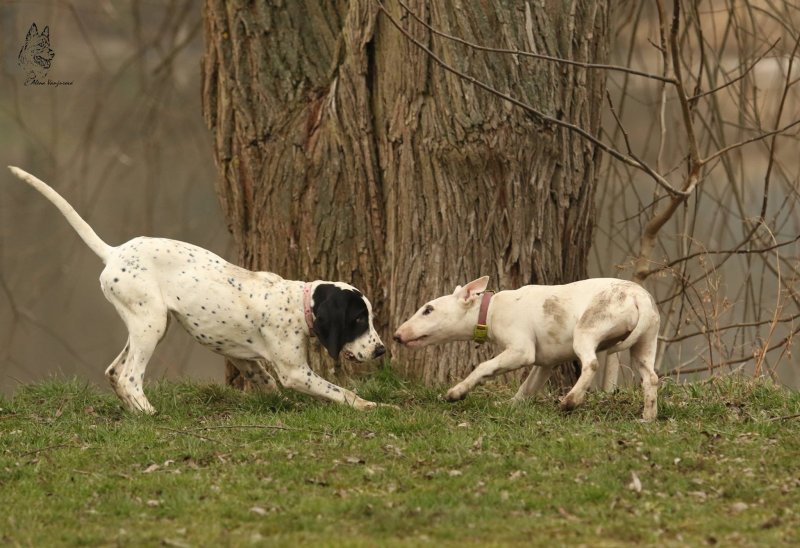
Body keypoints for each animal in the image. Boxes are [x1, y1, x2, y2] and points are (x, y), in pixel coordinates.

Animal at [394, 276, 664, 422]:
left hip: (587, 331)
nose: (396, 336)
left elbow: (484, 366)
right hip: (645, 343)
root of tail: (638, 295)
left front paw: (456, 393)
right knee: (651, 378)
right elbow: (527, 388)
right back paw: (648, 417)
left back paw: (570, 401)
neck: (489, 310)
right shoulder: (545, 363)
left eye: (428, 309)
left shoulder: (521, 351)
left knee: (591, 364)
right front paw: (509, 405)